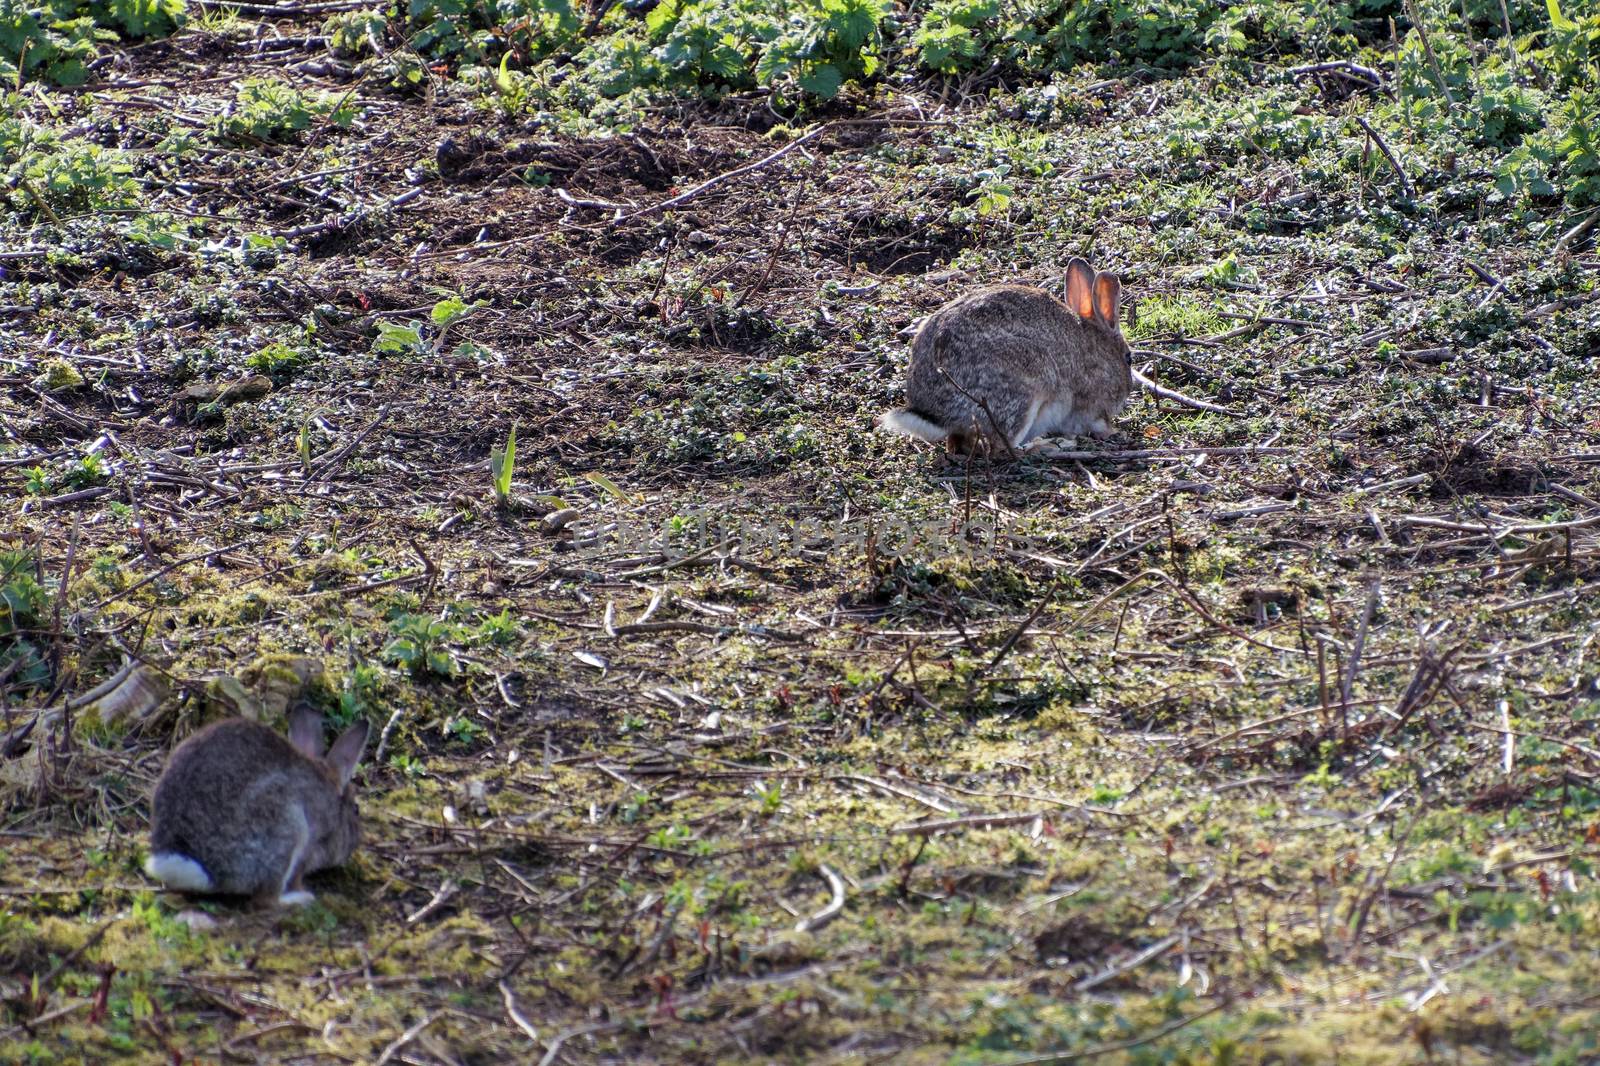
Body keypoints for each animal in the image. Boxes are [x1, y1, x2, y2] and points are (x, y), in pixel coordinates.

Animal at [143, 704, 368, 902]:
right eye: (356, 810)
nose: (353, 846)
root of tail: (208, 871)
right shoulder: (310, 844)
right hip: (287, 824)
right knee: (266, 898)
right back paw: (300, 900)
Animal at [883, 260, 1132, 457]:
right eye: (1128, 358)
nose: (1128, 389)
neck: (1098, 349)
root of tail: (936, 413)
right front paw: (1111, 431)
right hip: (1026, 387)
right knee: (1000, 446)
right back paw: (1044, 447)